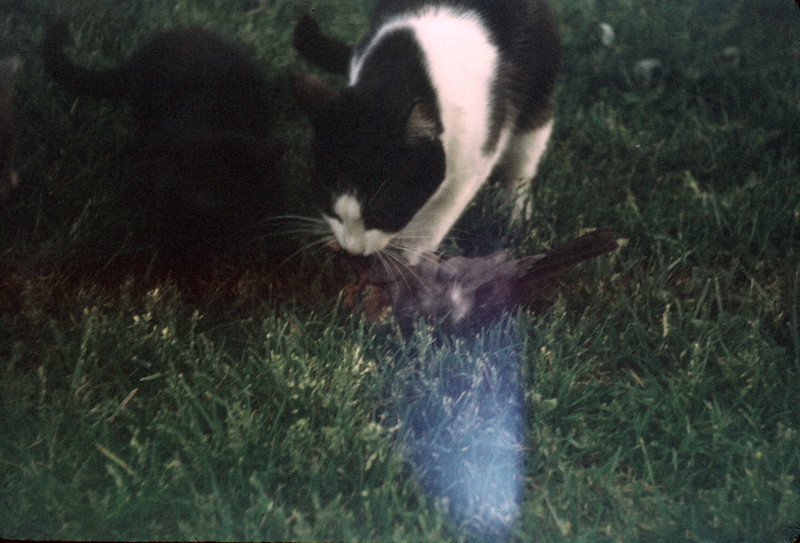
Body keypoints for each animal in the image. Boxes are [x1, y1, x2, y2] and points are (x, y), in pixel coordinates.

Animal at [290, 0, 560, 264]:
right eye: (329, 204)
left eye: (382, 212)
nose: (352, 250)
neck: (400, 76)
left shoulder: (475, 157)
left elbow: (437, 216)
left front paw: (408, 260)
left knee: (523, 160)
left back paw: (516, 210)